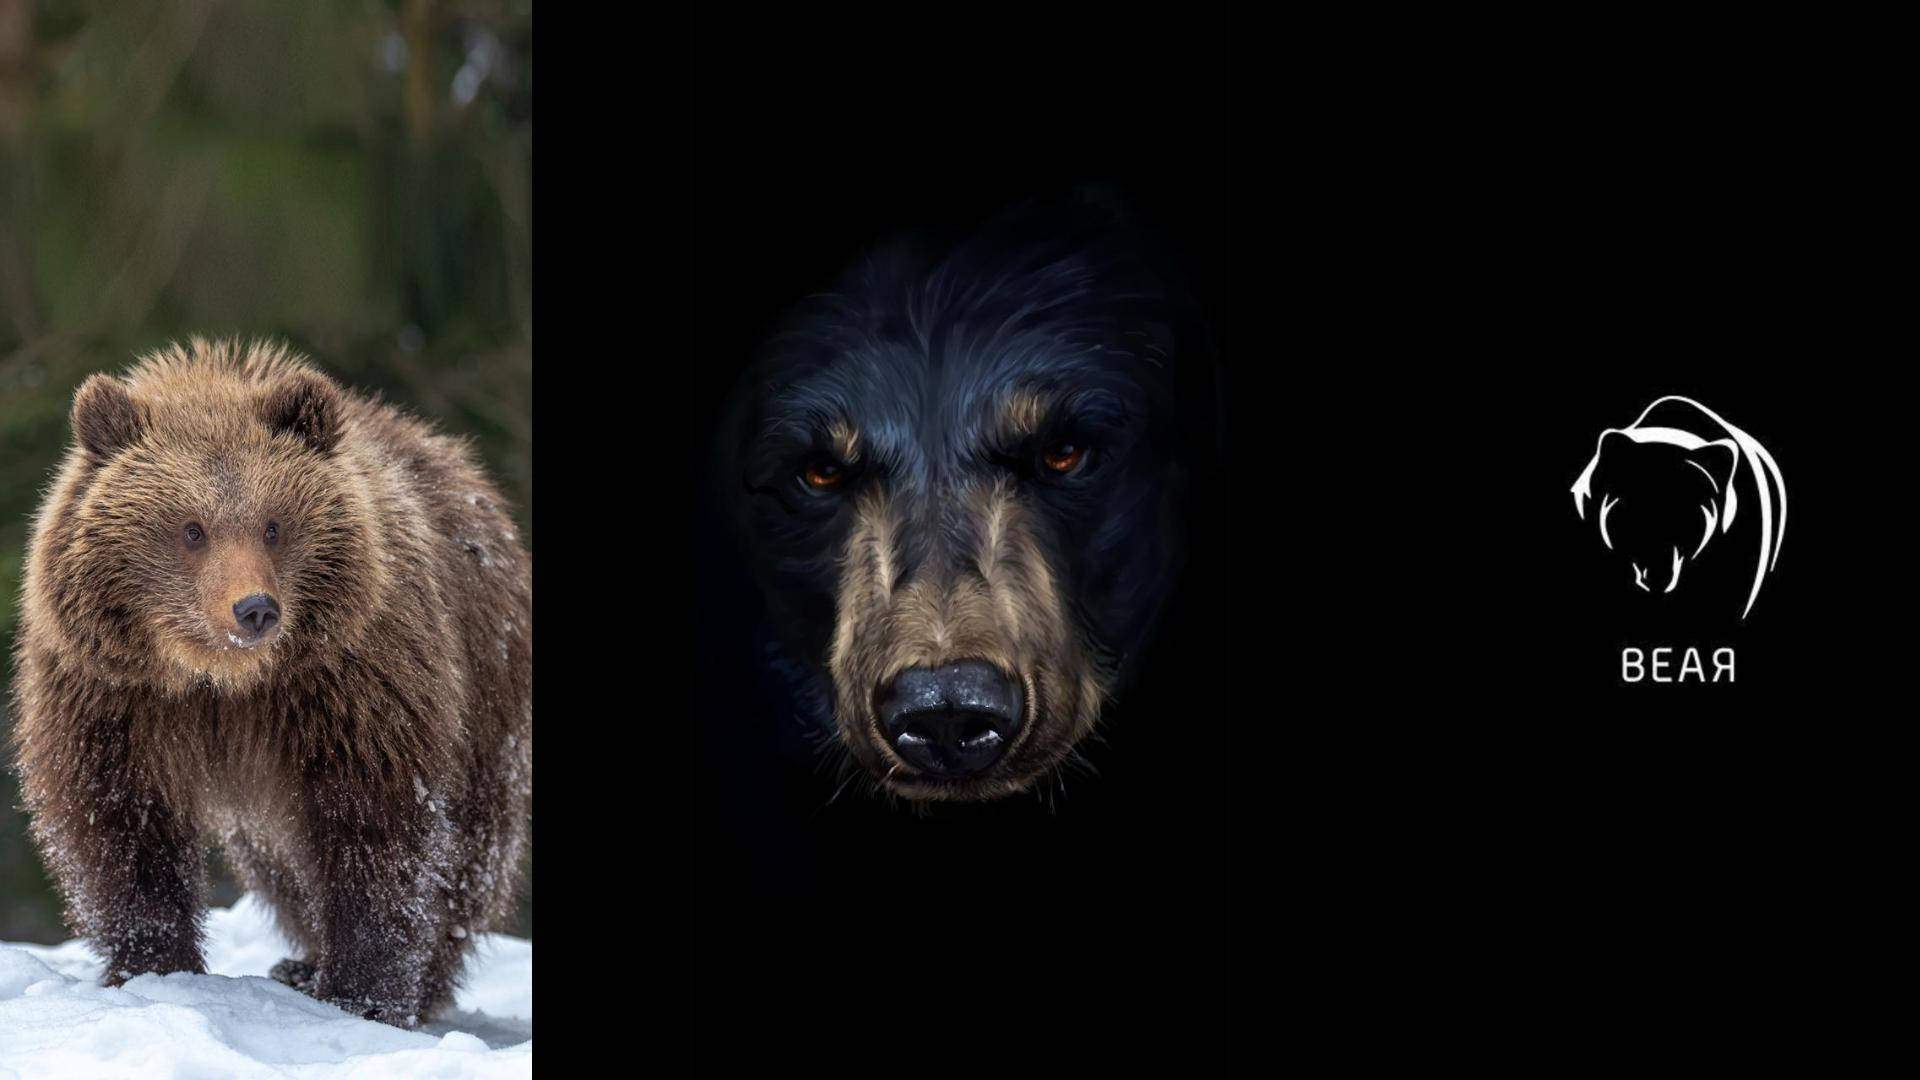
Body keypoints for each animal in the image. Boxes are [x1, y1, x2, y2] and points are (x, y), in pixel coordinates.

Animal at [7, 337, 532, 1028]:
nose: (254, 609)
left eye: (273, 525)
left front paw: (363, 993)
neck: (222, 683)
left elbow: (377, 827)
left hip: (488, 700)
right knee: (279, 864)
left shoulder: (350, 687)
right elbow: (118, 822)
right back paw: (300, 962)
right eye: (192, 529)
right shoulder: (114, 695)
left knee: (470, 855)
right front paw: (152, 967)